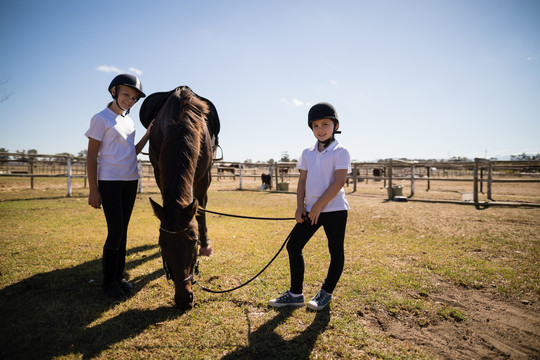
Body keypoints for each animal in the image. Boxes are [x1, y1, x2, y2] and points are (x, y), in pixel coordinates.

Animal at [148, 86, 215, 310]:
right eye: (162, 243)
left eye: (193, 242)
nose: (184, 299)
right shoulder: (158, 172)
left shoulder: (204, 177)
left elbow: (200, 211)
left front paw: (205, 245)